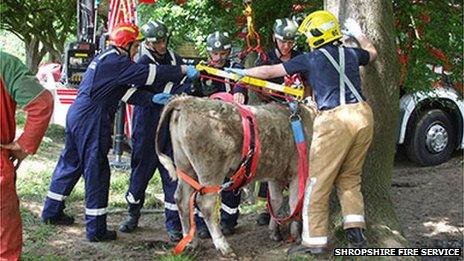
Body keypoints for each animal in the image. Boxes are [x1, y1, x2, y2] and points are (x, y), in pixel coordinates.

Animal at [156, 94, 316, 255]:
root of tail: (186, 100)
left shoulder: (276, 175)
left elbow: (275, 202)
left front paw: (274, 232)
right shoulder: (297, 173)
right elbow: (295, 203)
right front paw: (296, 235)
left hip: (185, 167)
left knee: (181, 199)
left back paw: (191, 243)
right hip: (211, 170)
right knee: (206, 204)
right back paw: (223, 246)